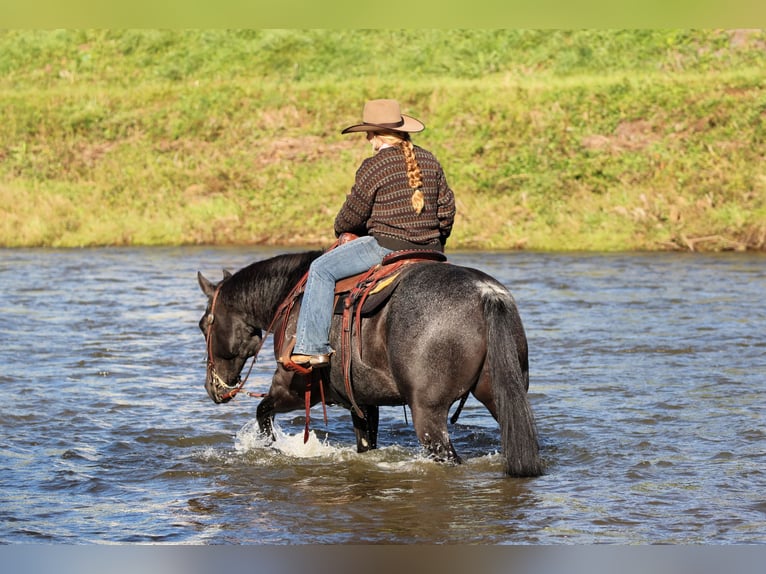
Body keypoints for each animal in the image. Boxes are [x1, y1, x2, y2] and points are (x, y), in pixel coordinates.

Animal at [197, 249, 543, 477]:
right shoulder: (362, 401)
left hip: (428, 414)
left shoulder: (294, 388)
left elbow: (263, 411)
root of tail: (485, 294)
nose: (213, 388)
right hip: (500, 396)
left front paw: (271, 447)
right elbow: (365, 442)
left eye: (203, 325)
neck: (291, 298)